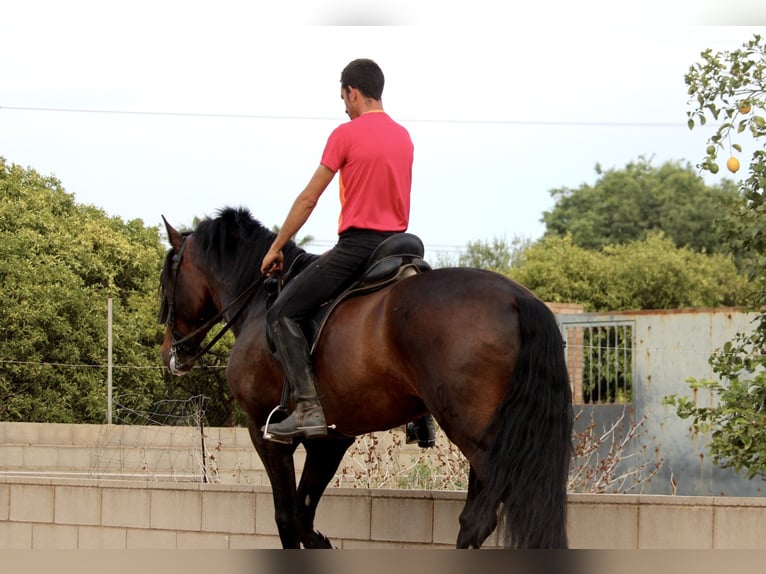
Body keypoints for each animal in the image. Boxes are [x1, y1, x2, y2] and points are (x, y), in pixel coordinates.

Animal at [159, 207, 572, 548]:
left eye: (166, 282)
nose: (171, 352)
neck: (261, 303)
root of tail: (518, 299)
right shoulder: (331, 440)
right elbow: (305, 518)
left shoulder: (264, 431)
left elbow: (287, 518)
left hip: (482, 438)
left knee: (479, 519)